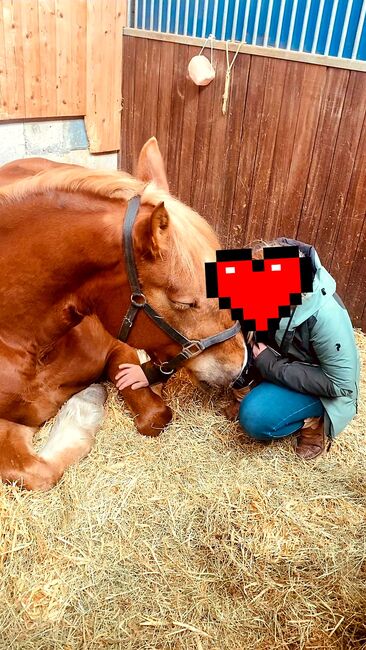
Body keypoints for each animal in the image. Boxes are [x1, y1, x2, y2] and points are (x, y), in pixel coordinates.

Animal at [0, 138, 246, 492]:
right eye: (185, 302)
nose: (239, 365)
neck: (31, 346)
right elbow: (36, 472)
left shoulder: (118, 347)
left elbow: (155, 415)